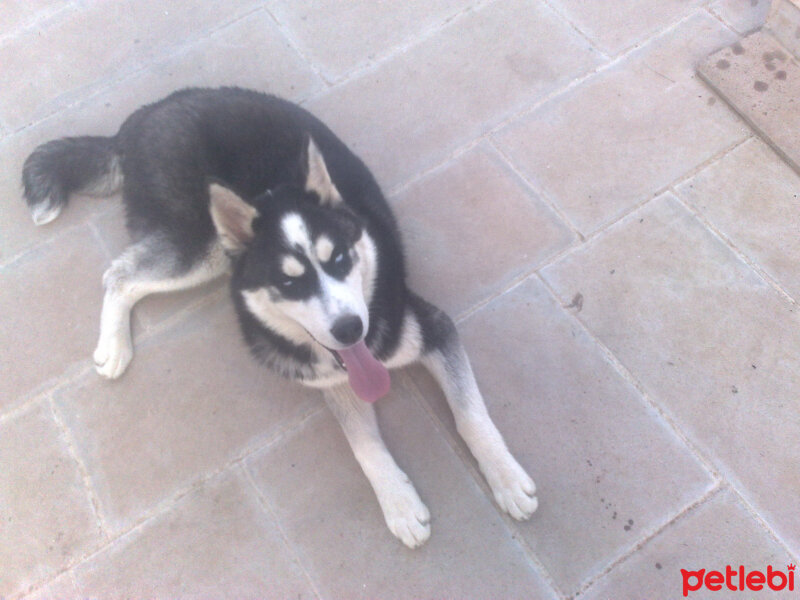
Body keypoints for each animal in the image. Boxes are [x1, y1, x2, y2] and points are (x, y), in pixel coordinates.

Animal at [23, 85, 536, 548]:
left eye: (340, 259)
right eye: (289, 283)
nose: (351, 329)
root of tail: (145, 114)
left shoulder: (431, 327)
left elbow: (470, 415)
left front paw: (506, 477)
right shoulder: (333, 380)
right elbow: (364, 446)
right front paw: (399, 502)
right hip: (204, 248)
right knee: (119, 275)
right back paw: (113, 347)